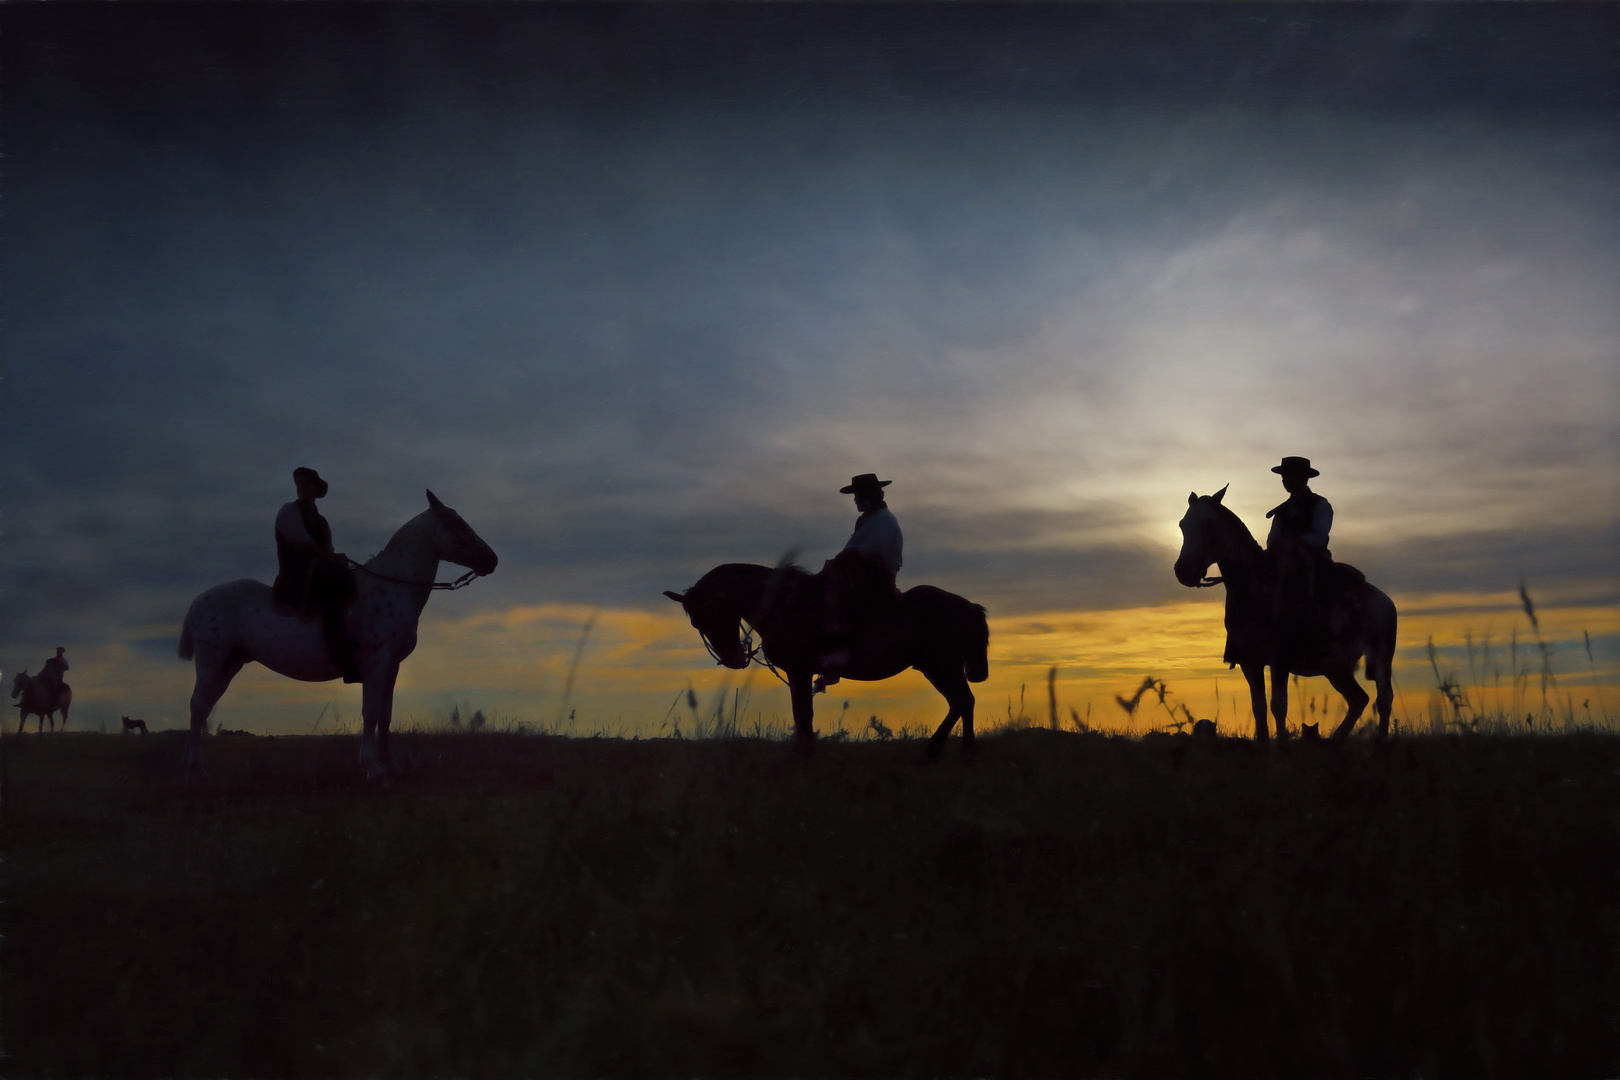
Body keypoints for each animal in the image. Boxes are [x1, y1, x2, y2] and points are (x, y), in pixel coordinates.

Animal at [174, 495, 495, 780]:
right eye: (455, 522)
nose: (492, 559)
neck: (392, 587)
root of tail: (199, 600)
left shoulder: (392, 666)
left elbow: (386, 715)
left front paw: (390, 765)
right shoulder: (376, 662)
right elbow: (371, 712)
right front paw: (372, 768)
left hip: (230, 664)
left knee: (205, 708)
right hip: (211, 662)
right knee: (198, 707)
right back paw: (195, 770)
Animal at [657, 569, 984, 757]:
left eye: (715, 612)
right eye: (696, 622)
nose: (733, 659)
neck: (787, 605)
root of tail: (968, 605)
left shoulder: (799, 671)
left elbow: (803, 714)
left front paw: (803, 756)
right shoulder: (798, 674)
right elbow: (802, 715)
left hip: (942, 666)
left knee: (963, 701)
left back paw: (959, 750)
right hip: (935, 668)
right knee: (959, 702)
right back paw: (944, 749)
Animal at [1179, 488, 1393, 744]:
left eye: (1210, 524)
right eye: (1182, 525)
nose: (1183, 570)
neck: (1257, 588)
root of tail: (1384, 600)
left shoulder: (1279, 660)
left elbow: (1278, 706)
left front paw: (1281, 745)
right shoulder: (1249, 662)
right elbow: (1259, 708)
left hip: (1380, 658)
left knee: (1383, 700)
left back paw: (1381, 741)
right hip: (1336, 668)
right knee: (1358, 699)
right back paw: (1335, 740)